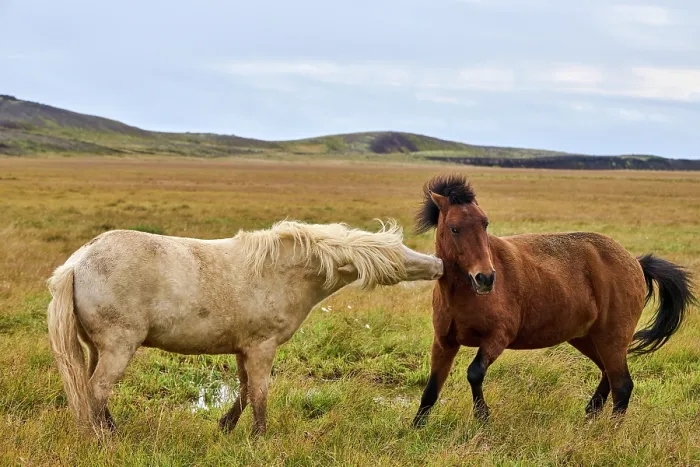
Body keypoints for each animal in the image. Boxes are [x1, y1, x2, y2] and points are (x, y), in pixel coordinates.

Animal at [46, 219, 444, 436]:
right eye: (397, 254)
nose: (439, 264)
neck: (282, 272)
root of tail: (78, 262)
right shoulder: (262, 347)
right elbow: (260, 393)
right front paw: (260, 436)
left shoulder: (243, 348)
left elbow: (243, 390)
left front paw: (226, 425)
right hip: (118, 347)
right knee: (97, 390)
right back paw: (105, 438)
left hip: (97, 348)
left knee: (92, 389)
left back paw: (110, 430)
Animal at [411, 174, 696, 427]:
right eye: (454, 228)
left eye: (485, 224)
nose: (486, 278)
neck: (461, 293)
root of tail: (635, 262)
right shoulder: (444, 343)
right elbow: (432, 388)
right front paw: (416, 427)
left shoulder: (497, 338)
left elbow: (474, 373)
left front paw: (483, 418)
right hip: (588, 338)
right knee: (609, 375)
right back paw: (590, 416)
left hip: (612, 338)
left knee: (622, 384)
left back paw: (610, 432)